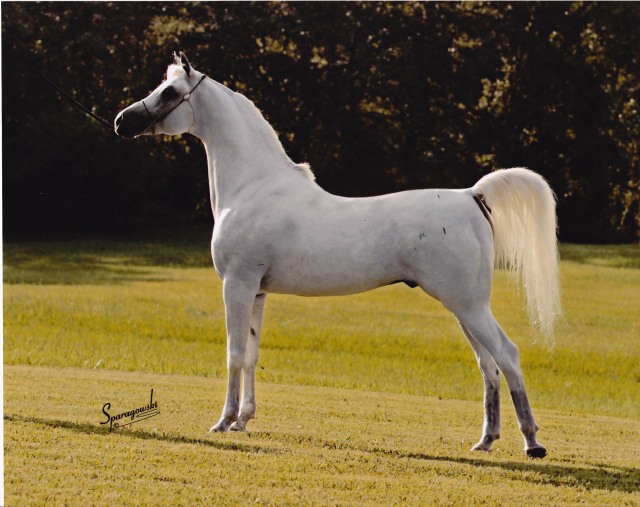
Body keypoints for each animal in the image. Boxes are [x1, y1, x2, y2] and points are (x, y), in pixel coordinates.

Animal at [115, 53, 560, 458]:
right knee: (488, 365)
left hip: (468, 305)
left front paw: (224, 421)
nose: (122, 121)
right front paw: (244, 419)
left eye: (170, 92)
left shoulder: (237, 286)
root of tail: (472, 195)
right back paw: (486, 440)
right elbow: (252, 356)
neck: (253, 186)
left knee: (507, 354)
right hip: (464, 309)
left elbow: (234, 354)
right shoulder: (257, 291)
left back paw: (532, 442)